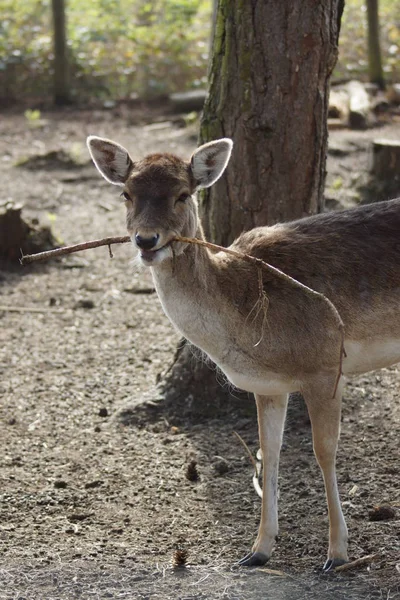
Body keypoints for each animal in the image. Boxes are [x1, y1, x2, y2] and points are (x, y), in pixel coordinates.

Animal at [87, 136, 400, 572]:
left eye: (183, 194)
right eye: (126, 194)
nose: (146, 240)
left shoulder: (324, 364)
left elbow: (324, 451)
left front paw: (337, 554)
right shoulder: (269, 385)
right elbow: (268, 452)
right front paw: (257, 551)